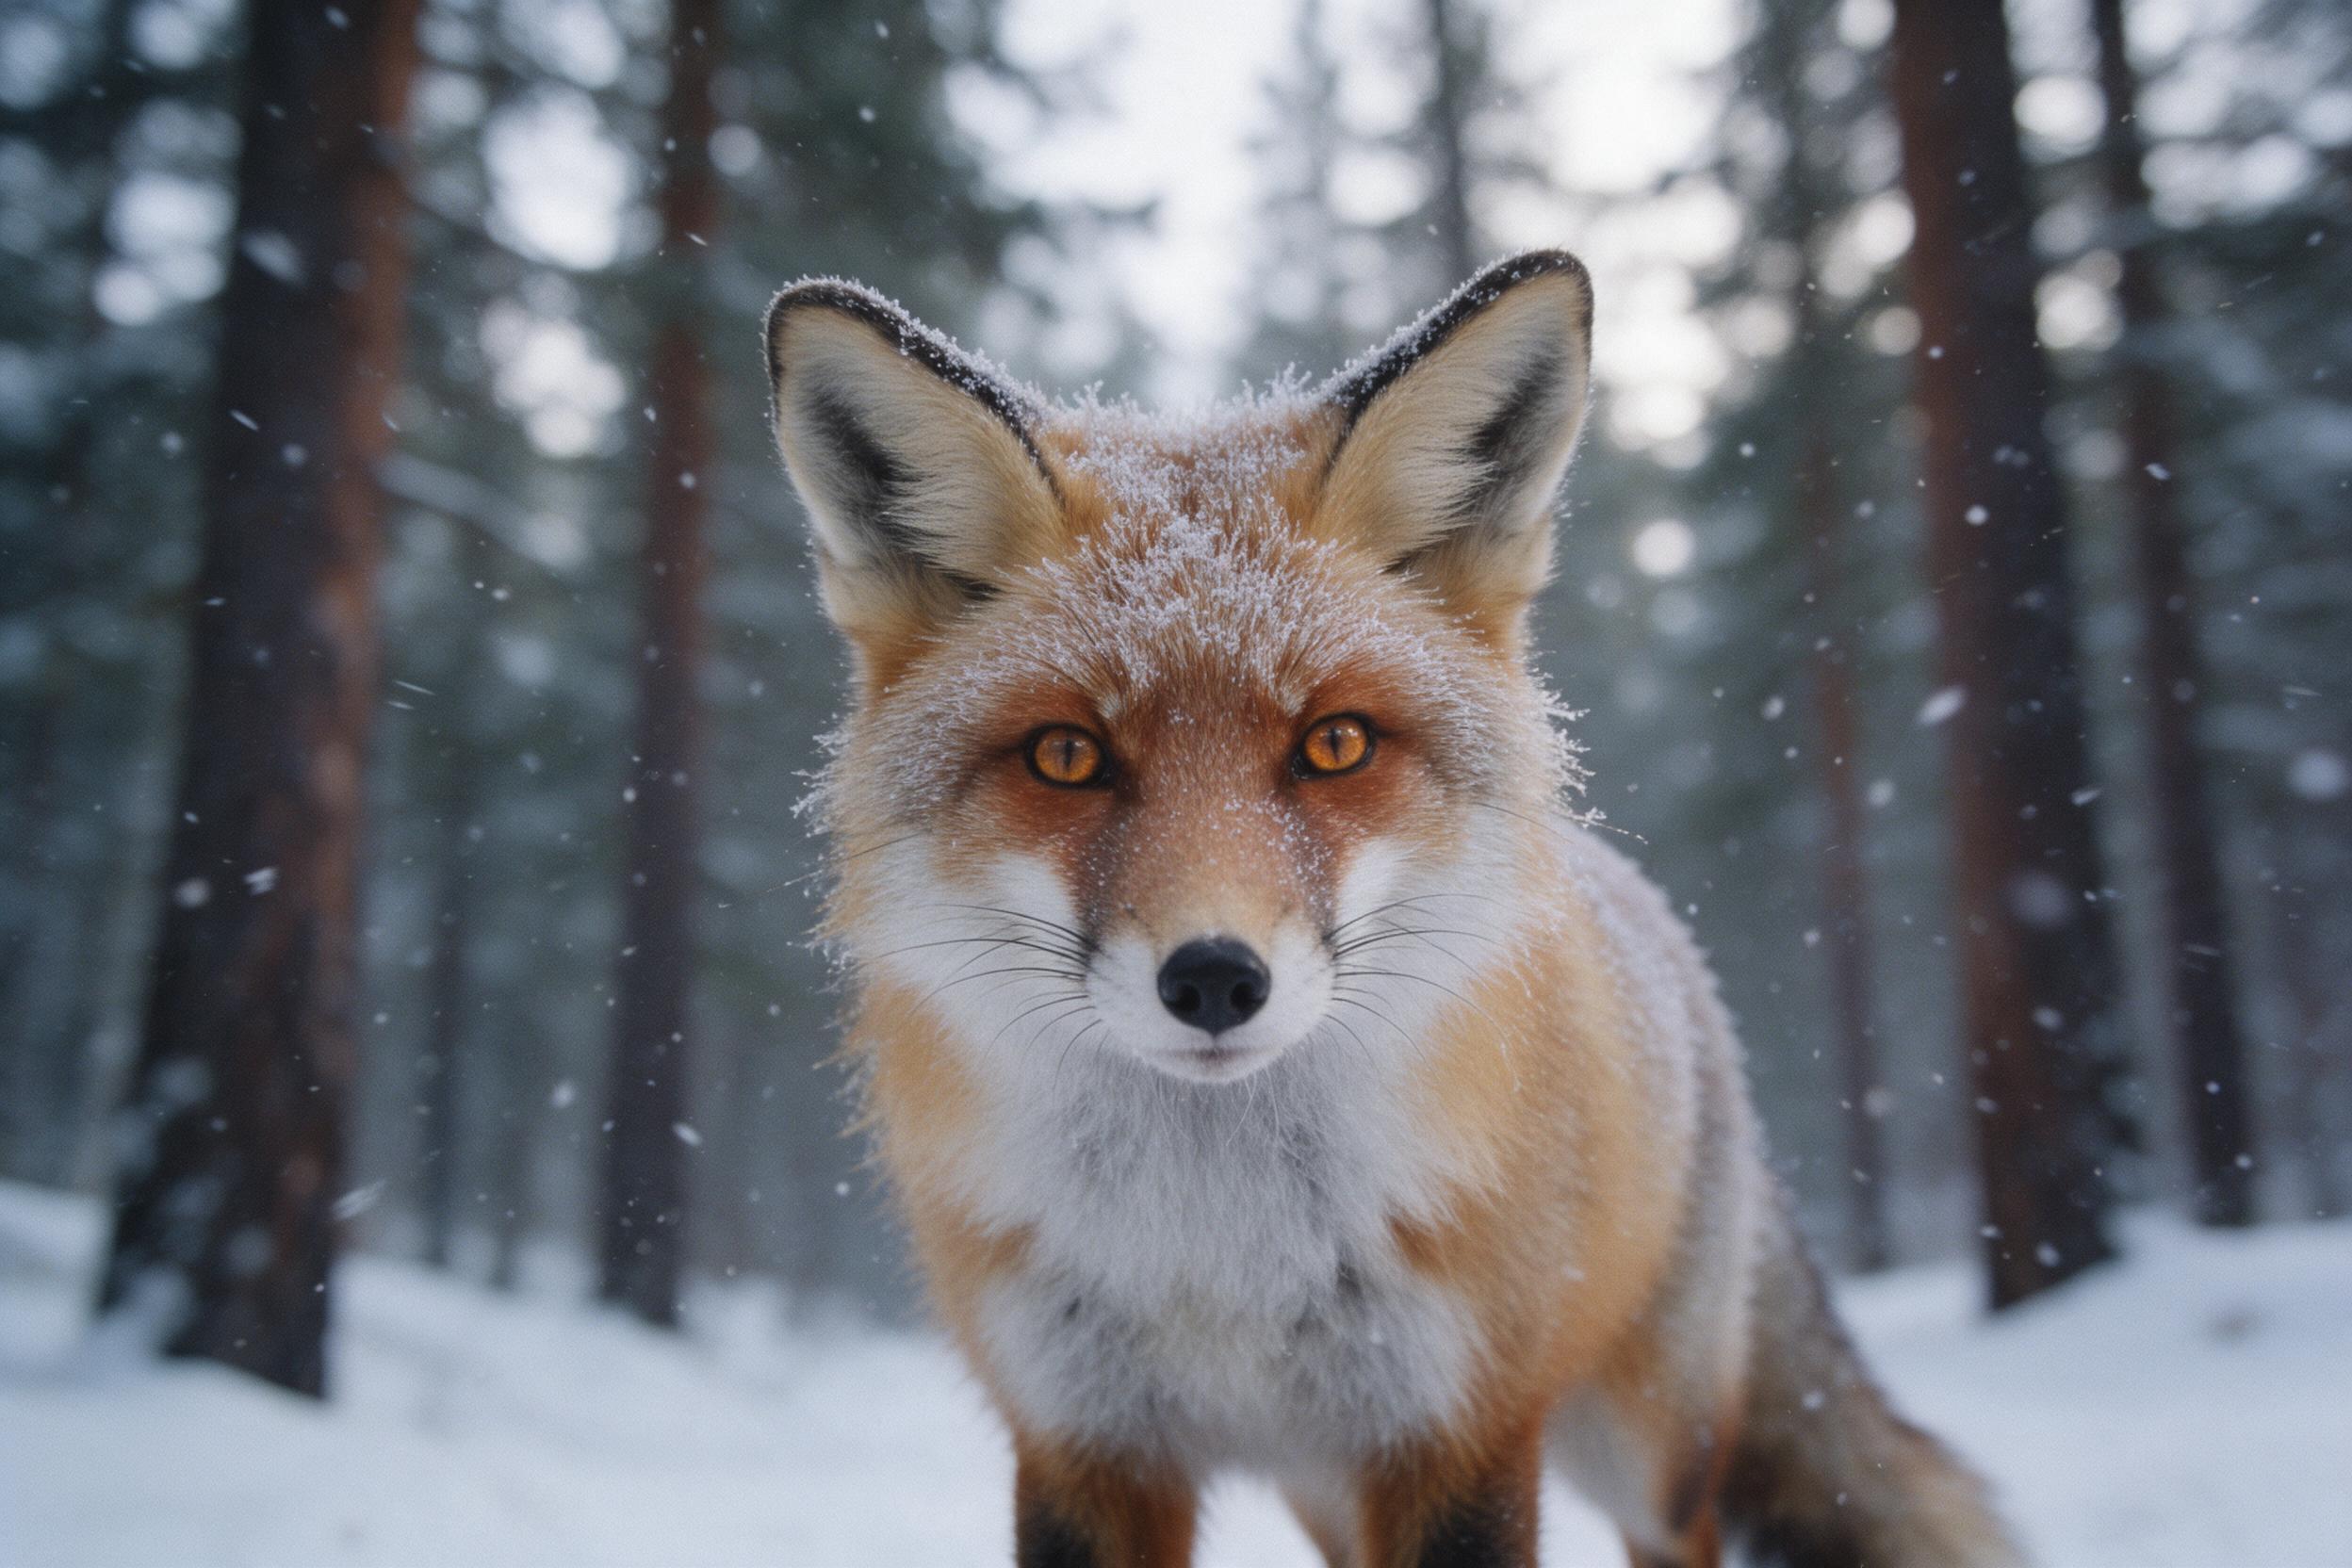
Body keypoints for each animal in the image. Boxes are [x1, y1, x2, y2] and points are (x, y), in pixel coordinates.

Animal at [761, 250, 2026, 1568]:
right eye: (1067, 755)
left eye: (1336, 743)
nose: (1214, 978)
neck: (1220, 1251)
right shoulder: (1083, 1442)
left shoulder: (1457, 1430)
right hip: (1330, 1487)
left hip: (1644, 1451)